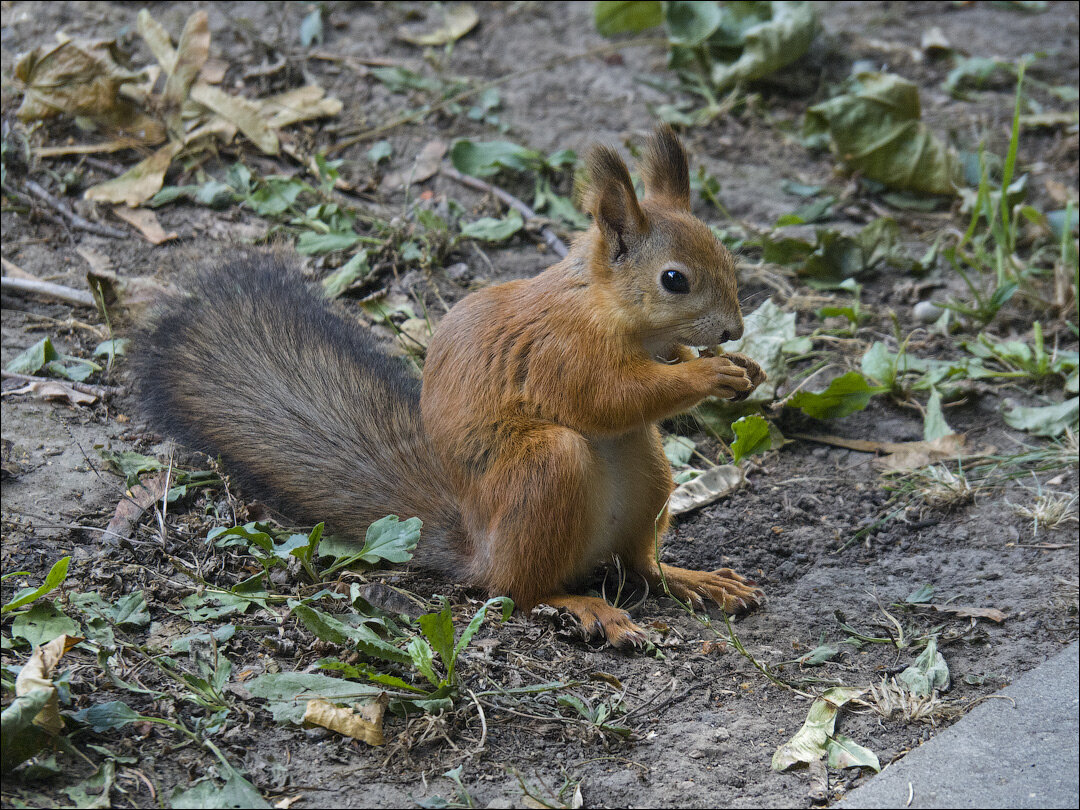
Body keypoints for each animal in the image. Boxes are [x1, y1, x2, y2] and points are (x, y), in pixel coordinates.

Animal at [137, 126, 768, 648]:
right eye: (674, 280)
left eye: (726, 255)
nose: (733, 329)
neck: (603, 304)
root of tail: (479, 550)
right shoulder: (561, 354)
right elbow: (609, 399)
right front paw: (709, 373)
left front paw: (745, 367)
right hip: (547, 470)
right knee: (522, 590)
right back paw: (587, 607)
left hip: (648, 471)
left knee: (638, 565)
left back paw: (692, 579)